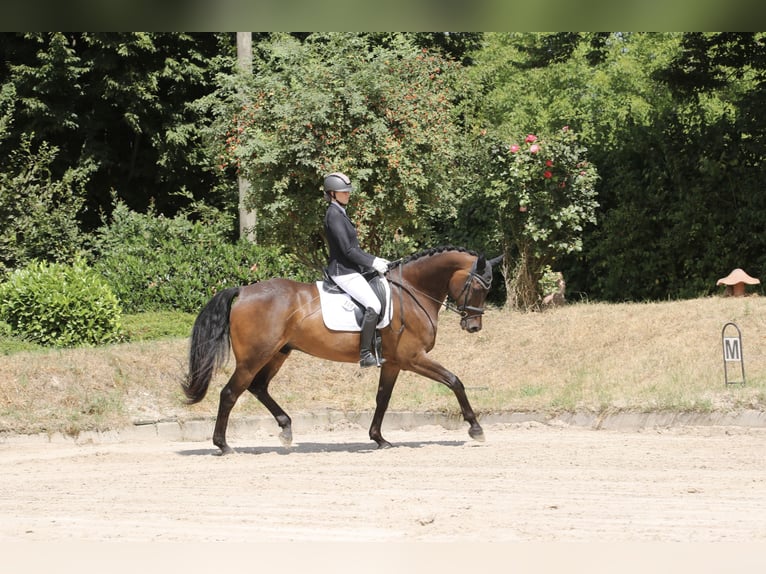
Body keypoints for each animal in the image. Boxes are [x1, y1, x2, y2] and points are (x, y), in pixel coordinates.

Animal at [184, 245, 508, 456]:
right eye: (478, 287)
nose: (473, 326)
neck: (412, 291)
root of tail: (243, 291)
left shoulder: (393, 363)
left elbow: (382, 399)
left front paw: (379, 439)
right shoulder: (413, 358)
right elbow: (455, 381)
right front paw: (476, 428)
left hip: (278, 353)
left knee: (258, 388)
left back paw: (285, 429)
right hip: (254, 357)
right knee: (230, 393)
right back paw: (223, 445)